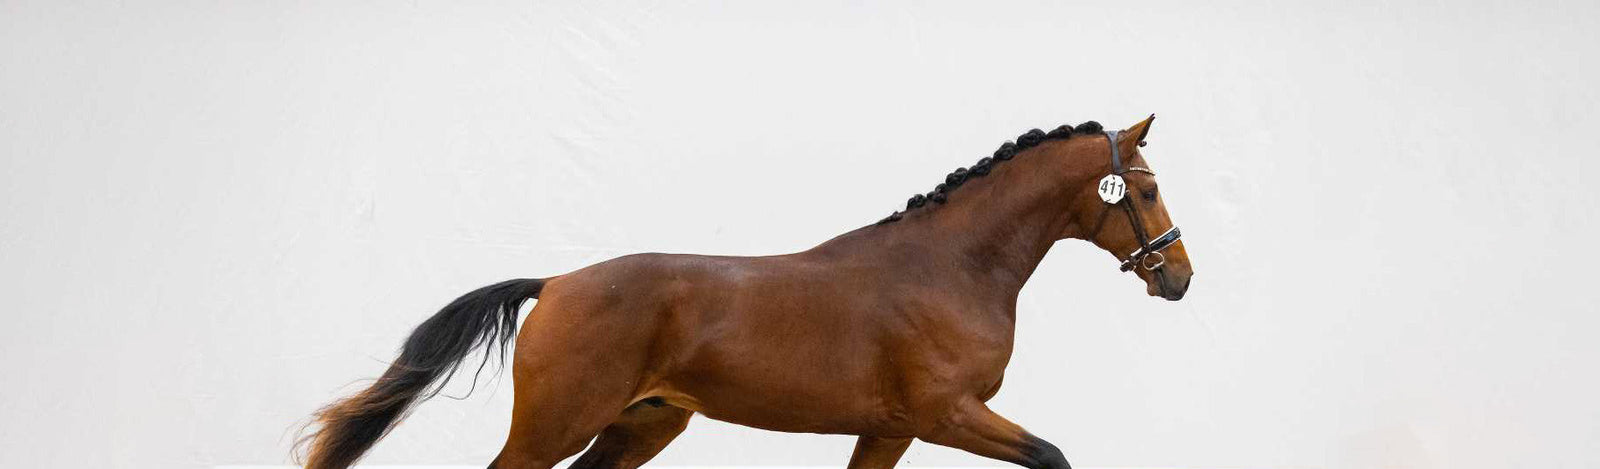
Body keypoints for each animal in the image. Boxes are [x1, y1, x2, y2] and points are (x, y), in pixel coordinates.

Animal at [298, 115, 1193, 469]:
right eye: (1146, 190)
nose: (1179, 277)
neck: (949, 269)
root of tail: (556, 285)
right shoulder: (948, 415)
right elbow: (1054, 455)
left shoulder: (891, 428)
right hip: (558, 424)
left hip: (643, 423)